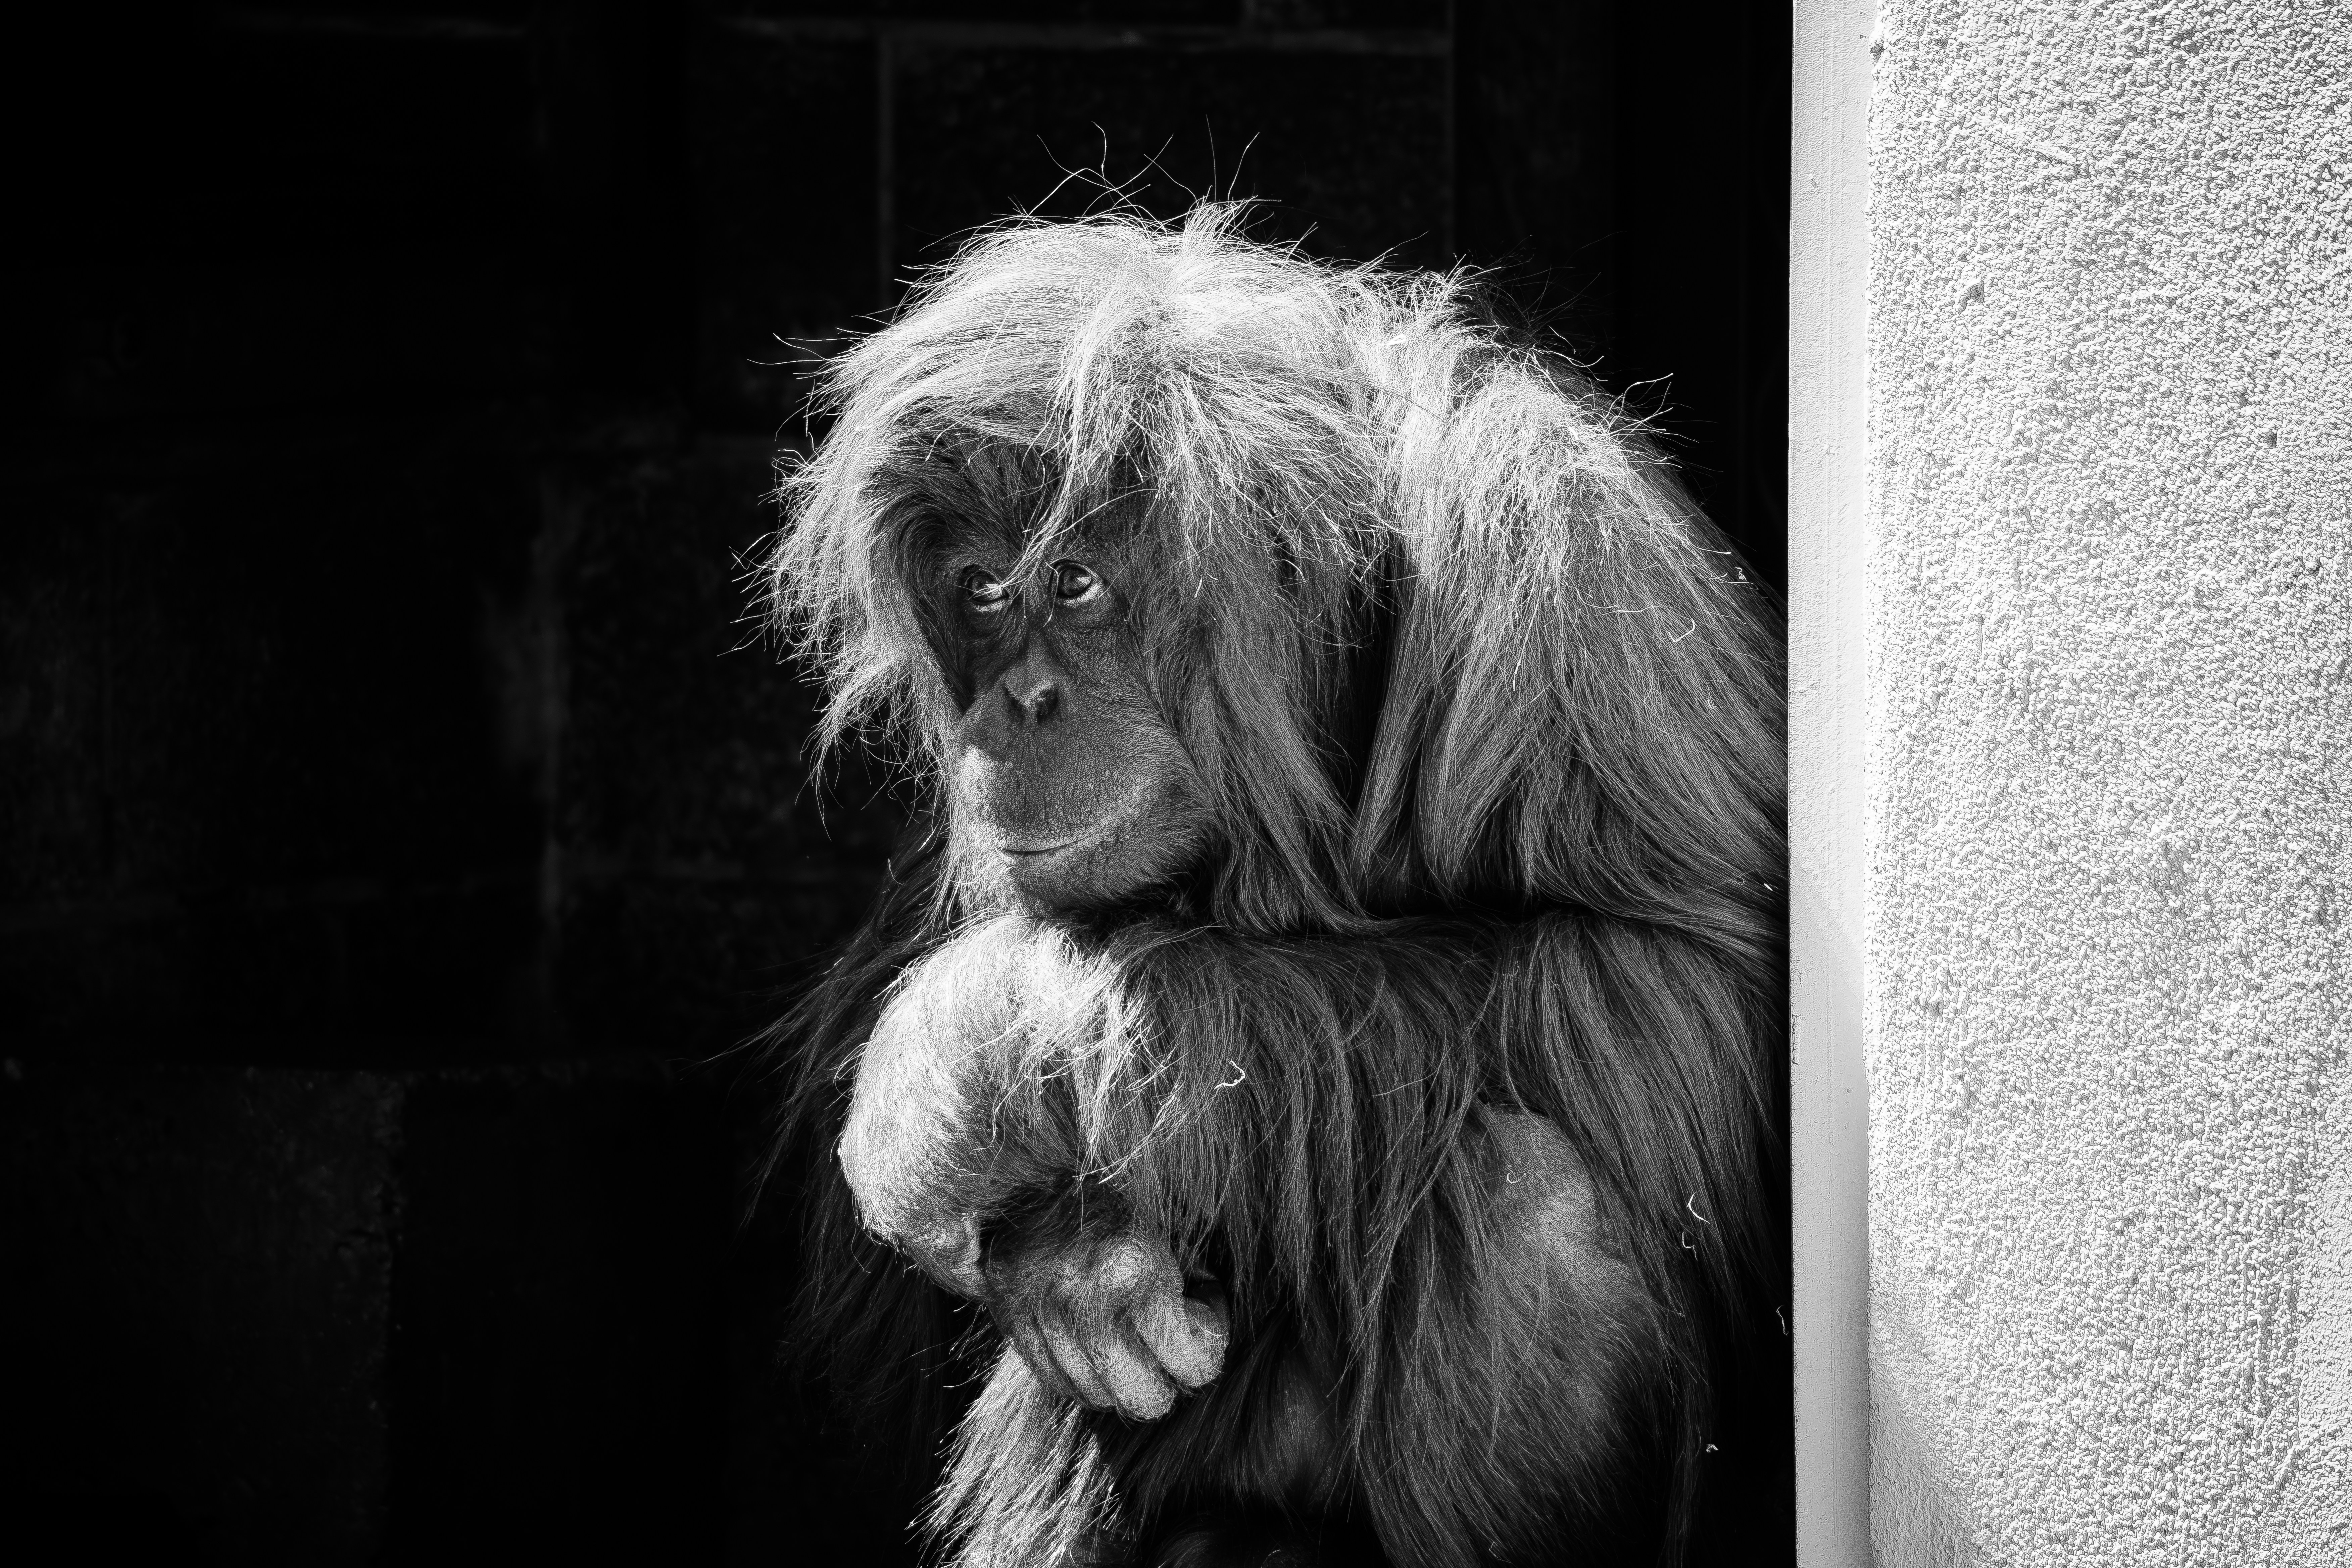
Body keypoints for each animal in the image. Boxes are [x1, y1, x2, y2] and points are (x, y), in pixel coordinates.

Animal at [756, 205, 1788, 1567]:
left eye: (1075, 582)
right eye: (981, 588)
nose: (1014, 705)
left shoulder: (1557, 565)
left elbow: (1669, 983)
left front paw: (959, 1051)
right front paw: (1069, 1260)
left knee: (1529, 1192)